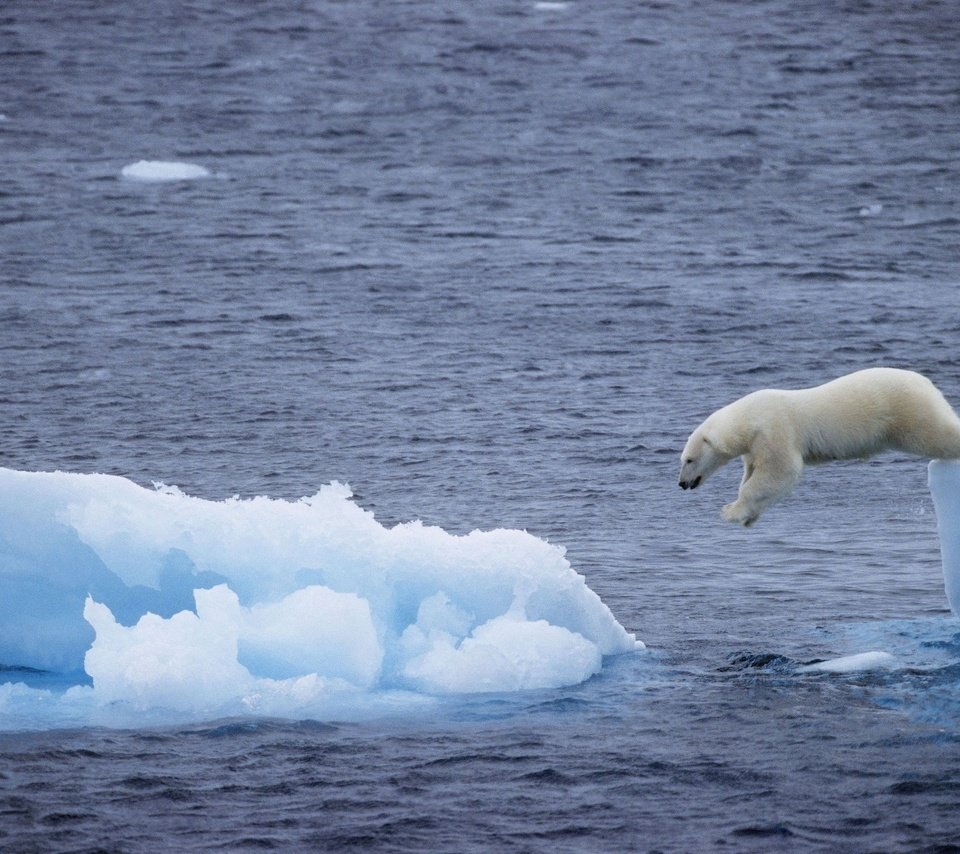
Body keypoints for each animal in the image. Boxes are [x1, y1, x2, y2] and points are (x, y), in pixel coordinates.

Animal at [680, 368, 960, 528]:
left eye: (689, 460)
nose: (682, 484)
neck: (748, 418)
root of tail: (926, 383)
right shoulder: (754, 446)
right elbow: (754, 474)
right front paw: (748, 516)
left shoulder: (774, 430)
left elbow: (780, 471)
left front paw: (730, 512)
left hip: (906, 411)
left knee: (936, 434)